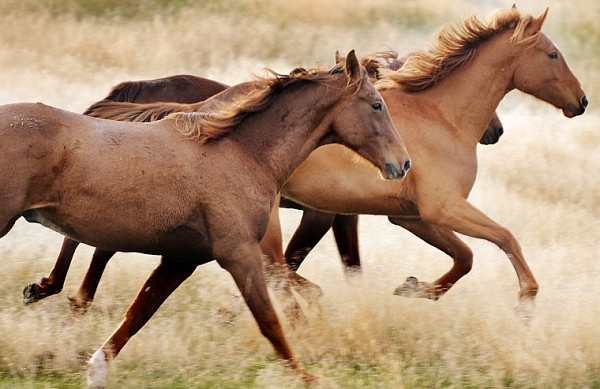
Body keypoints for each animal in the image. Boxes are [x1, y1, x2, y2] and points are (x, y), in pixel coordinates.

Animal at [0, 52, 412, 384]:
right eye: (376, 105)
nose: (403, 163)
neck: (240, 152)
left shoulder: (183, 259)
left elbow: (139, 312)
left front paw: (96, 371)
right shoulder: (239, 254)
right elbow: (271, 321)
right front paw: (309, 379)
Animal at [21, 53, 504, 312]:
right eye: (378, 103)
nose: (495, 131)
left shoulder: (338, 216)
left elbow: (337, 264)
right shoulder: (320, 215)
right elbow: (296, 263)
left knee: (90, 239)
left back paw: (62, 292)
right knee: (90, 242)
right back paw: (60, 292)